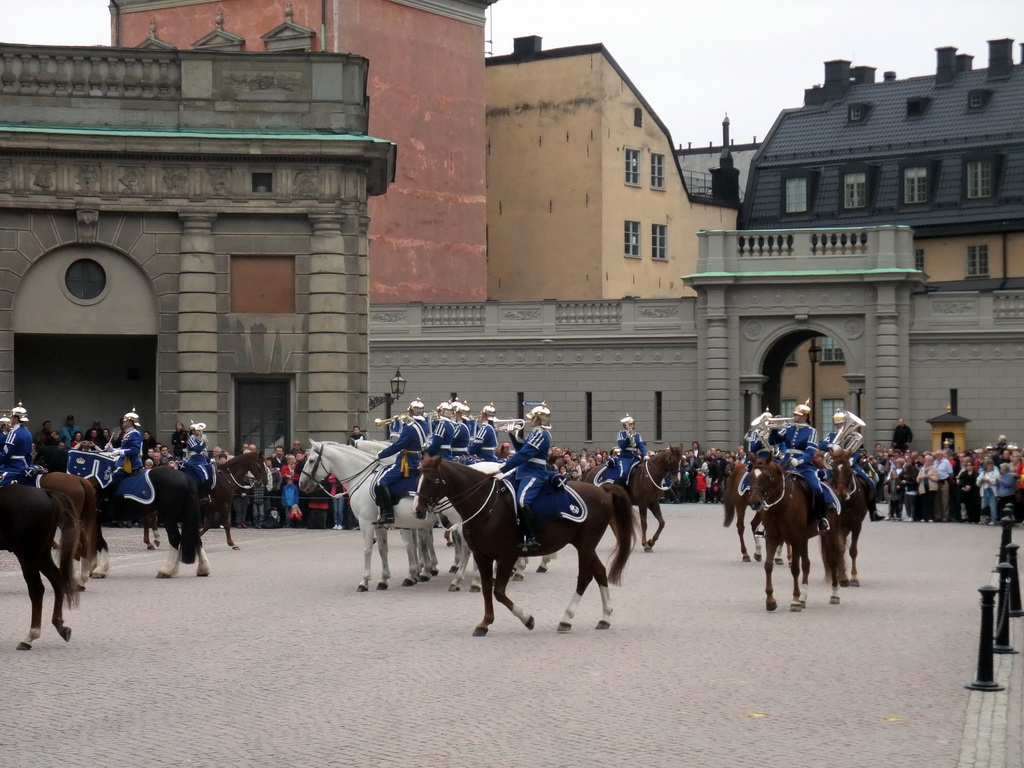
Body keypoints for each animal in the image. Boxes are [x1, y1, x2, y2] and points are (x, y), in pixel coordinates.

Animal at [0, 487, 79, 651]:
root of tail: (45, 492)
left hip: (27, 555)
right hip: (42, 554)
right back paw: (60, 625)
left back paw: (30, 636)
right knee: (57, 580)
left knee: (36, 589)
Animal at [413, 456, 634, 638]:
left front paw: (527, 619)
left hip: (586, 545)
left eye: (431, 481)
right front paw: (485, 622)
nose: (418, 511)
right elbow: (487, 589)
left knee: (585, 577)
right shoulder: (482, 556)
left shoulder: (507, 556)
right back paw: (605, 617)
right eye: (418, 478)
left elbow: (498, 592)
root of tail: (601, 490)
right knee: (600, 572)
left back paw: (566, 618)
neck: (487, 507)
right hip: (583, 545)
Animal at [745, 460, 839, 618]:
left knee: (833, 562)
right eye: (750, 476)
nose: (754, 503)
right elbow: (768, 566)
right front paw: (770, 601)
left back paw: (835, 594)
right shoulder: (772, 539)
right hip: (804, 539)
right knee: (806, 564)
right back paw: (804, 597)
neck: (779, 506)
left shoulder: (794, 539)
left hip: (829, 535)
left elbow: (795, 568)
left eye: (767, 477)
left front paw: (794, 600)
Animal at [819, 448, 868, 585]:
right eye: (834, 471)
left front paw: (854, 577)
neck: (848, 503)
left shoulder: (857, 526)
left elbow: (853, 550)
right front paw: (843, 577)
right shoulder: (838, 526)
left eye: (849, 470)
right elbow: (840, 548)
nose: (841, 494)